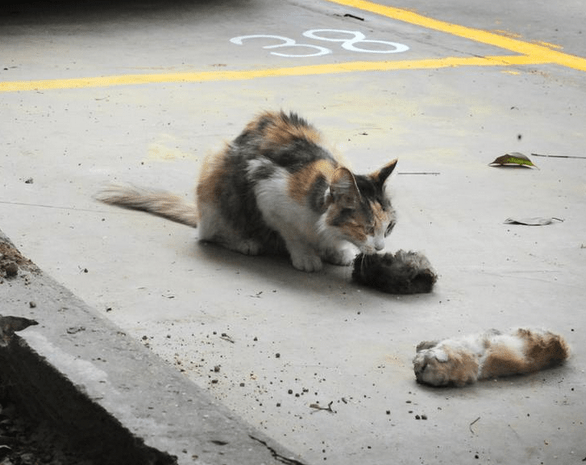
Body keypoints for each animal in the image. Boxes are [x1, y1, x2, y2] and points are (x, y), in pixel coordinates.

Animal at [97, 111, 396, 272]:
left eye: (389, 227)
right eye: (366, 227)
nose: (380, 247)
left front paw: (335, 250)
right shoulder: (267, 191)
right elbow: (291, 232)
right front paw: (305, 255)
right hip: (215, 173)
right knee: (206, 234)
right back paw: (246, 242)